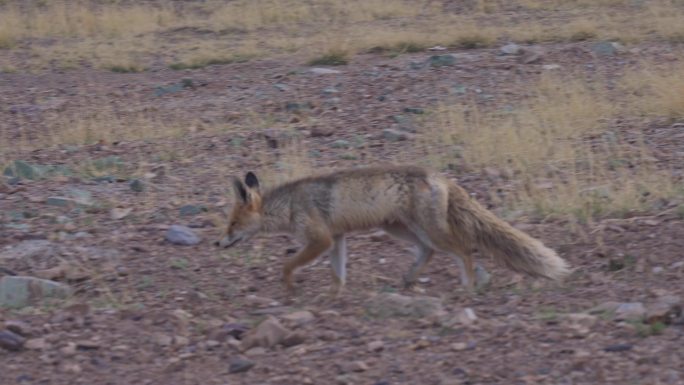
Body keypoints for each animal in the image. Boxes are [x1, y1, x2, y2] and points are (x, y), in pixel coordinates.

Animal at [216, 164, 568, 294]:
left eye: (232, 224)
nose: (218, 244)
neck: (290, 206)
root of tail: (440, 176)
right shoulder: (337, 239)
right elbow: (338, 272)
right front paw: (336, 294)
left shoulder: (320, 239)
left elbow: (287, 264)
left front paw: (289, 286)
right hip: (402, 231)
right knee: (428, 253)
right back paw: (409, 280)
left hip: (427, 232)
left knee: (465, 251)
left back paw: (466, 286)